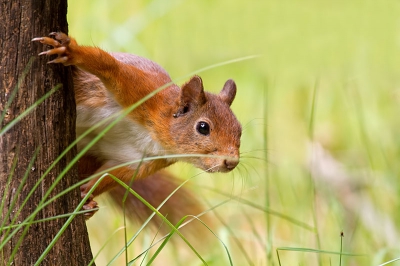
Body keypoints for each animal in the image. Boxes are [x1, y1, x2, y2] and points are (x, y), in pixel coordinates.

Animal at [32, 31, 241, 220]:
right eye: (203, 127)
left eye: (240, 130)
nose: (231, 162)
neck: (153, 134)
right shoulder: (141, 90)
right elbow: (108, 65)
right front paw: (70, 50)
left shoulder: (140, 162)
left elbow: (110, 176)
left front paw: (87, 194)